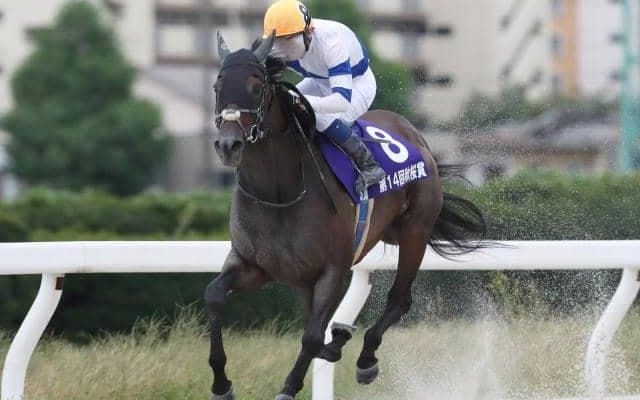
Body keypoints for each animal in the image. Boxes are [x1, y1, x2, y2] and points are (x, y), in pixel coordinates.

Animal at [205, 33, 487, 400]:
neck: (279, 193)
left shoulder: (332, 270)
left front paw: (289, 387)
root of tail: (416, 135)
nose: (229, 145)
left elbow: (311, 336)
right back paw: (339, 336)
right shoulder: (253, 265)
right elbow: (214, 296)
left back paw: (366, 358)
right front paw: (221, 383)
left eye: (256, 86)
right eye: (217, 85)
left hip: (414, 233)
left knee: (399, 300)